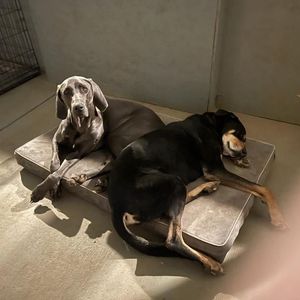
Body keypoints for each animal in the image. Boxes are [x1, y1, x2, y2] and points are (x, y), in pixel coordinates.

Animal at [108, 109, 288, 274]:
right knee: (174, 240)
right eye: (240, 134)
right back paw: (210, 262)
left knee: (169, 211)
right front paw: (277, 216)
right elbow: (262, 187)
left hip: (173, 187)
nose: (245, 152)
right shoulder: (215, 169)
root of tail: (115, 203)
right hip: (172, 182)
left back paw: (207, 188)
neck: (211, 125)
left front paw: (240, 161)